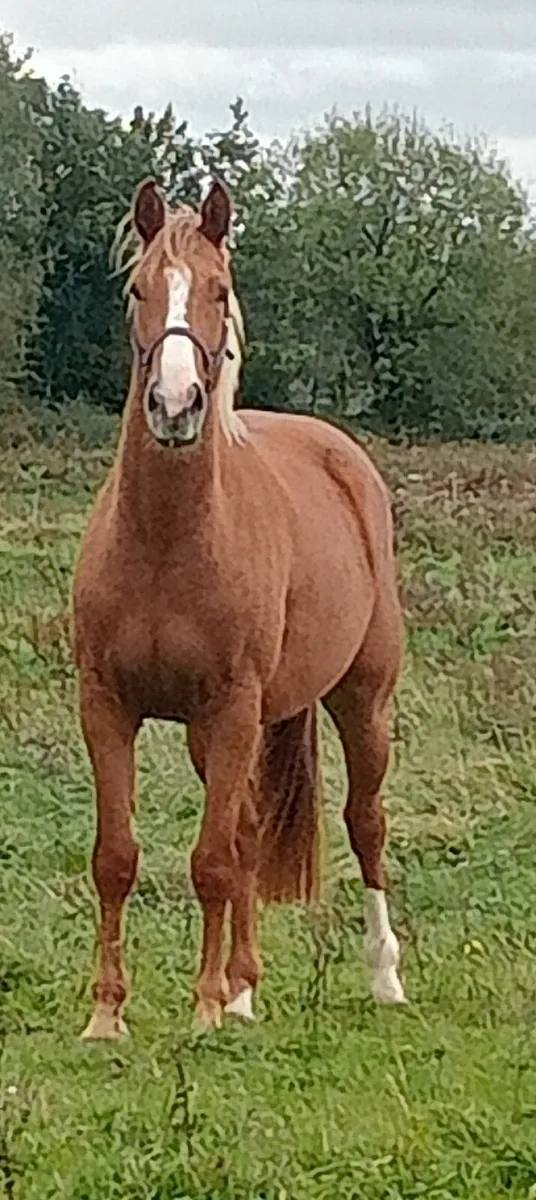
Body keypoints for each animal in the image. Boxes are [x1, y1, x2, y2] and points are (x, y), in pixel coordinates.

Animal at [73, 178, 406, 1039]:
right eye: (137, 289)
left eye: (219, 290)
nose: (175, 405)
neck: (166, 543)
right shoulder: (107, 706)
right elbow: (117, 856)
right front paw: (108, 1014)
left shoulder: (230, 710)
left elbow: (212, 862)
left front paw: (203, 1010)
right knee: (252, 827)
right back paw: (246, 986)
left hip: (361, 702)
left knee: (365, 822)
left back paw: (382, 975)